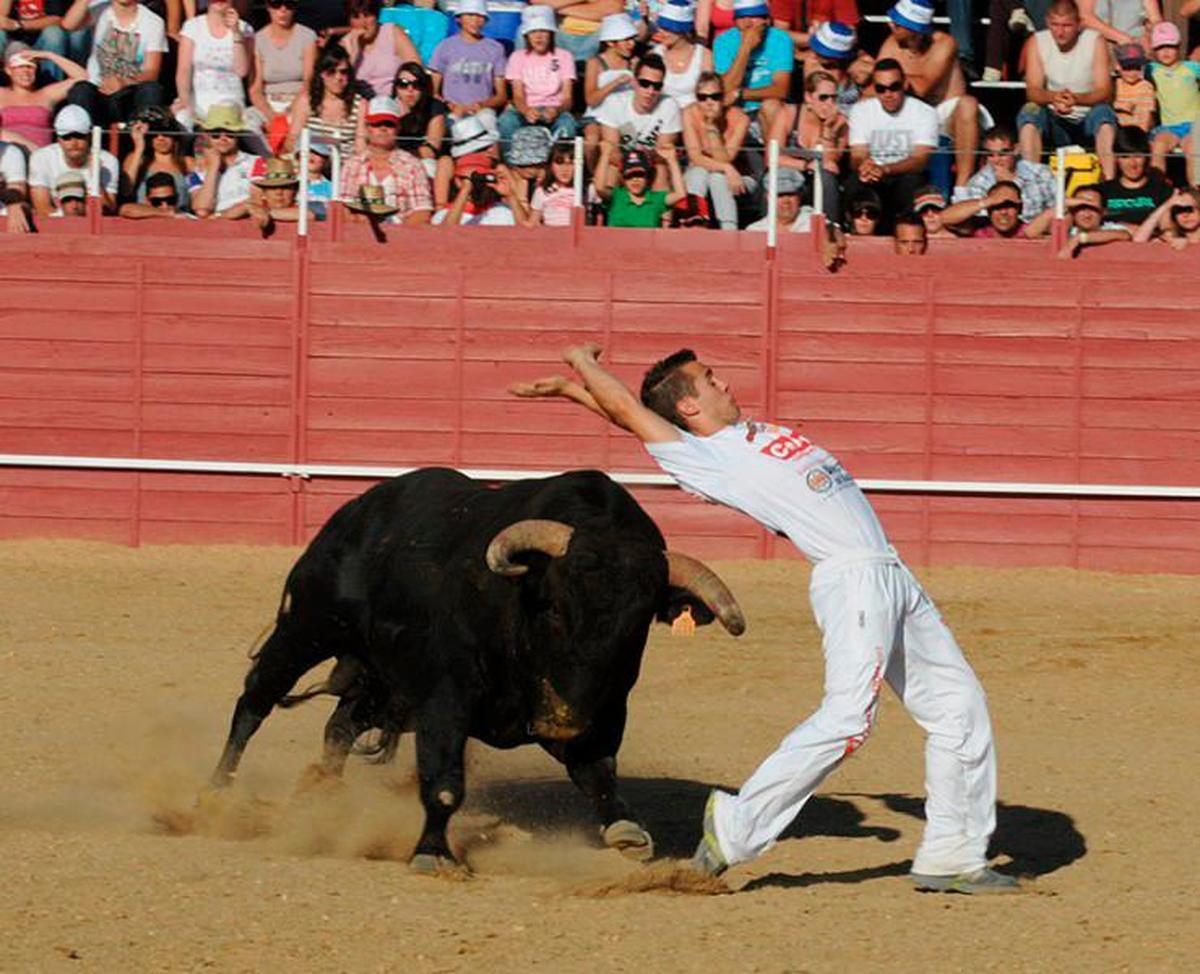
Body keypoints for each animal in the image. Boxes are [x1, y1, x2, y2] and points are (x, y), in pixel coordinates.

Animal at [211, 467, 744, 873]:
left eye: (636, 625)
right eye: (554, 607)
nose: (562, 722)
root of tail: (356, 513)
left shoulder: (606, 708)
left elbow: (598, 771)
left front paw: (627, 831)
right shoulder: (445, 700)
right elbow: (445, 782)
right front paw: (433, 854)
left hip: (386, 685)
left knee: (339, 725)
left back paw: (320, 800)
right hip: (305, 628)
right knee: (254, 703)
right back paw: (215, 795)